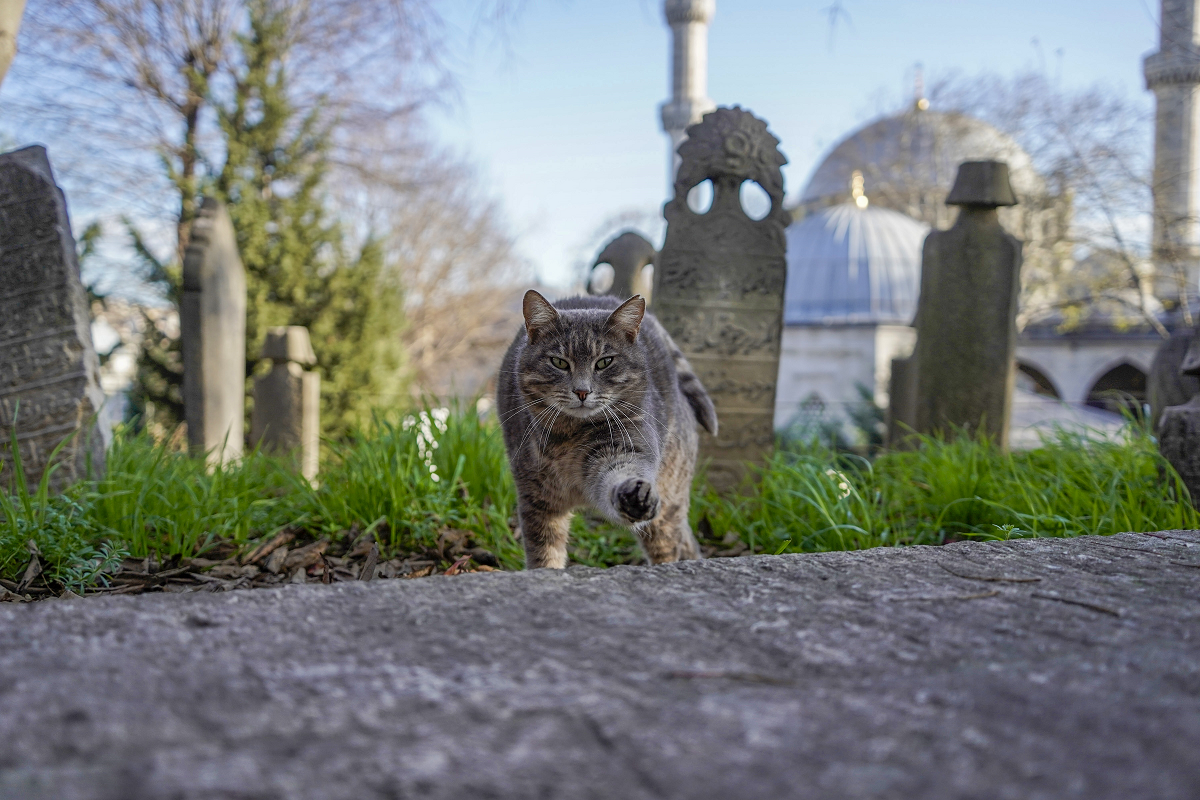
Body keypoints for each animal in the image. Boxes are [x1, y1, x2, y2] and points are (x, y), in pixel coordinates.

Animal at [499, 291, 715, 566]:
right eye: (559, 362)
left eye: (604, 362)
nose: (582, 391)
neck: (568, 437)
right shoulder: (536, 497)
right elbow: (545, 552)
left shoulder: (624, 445)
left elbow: (620, 472)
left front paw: (634, 495)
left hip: (668, 502)